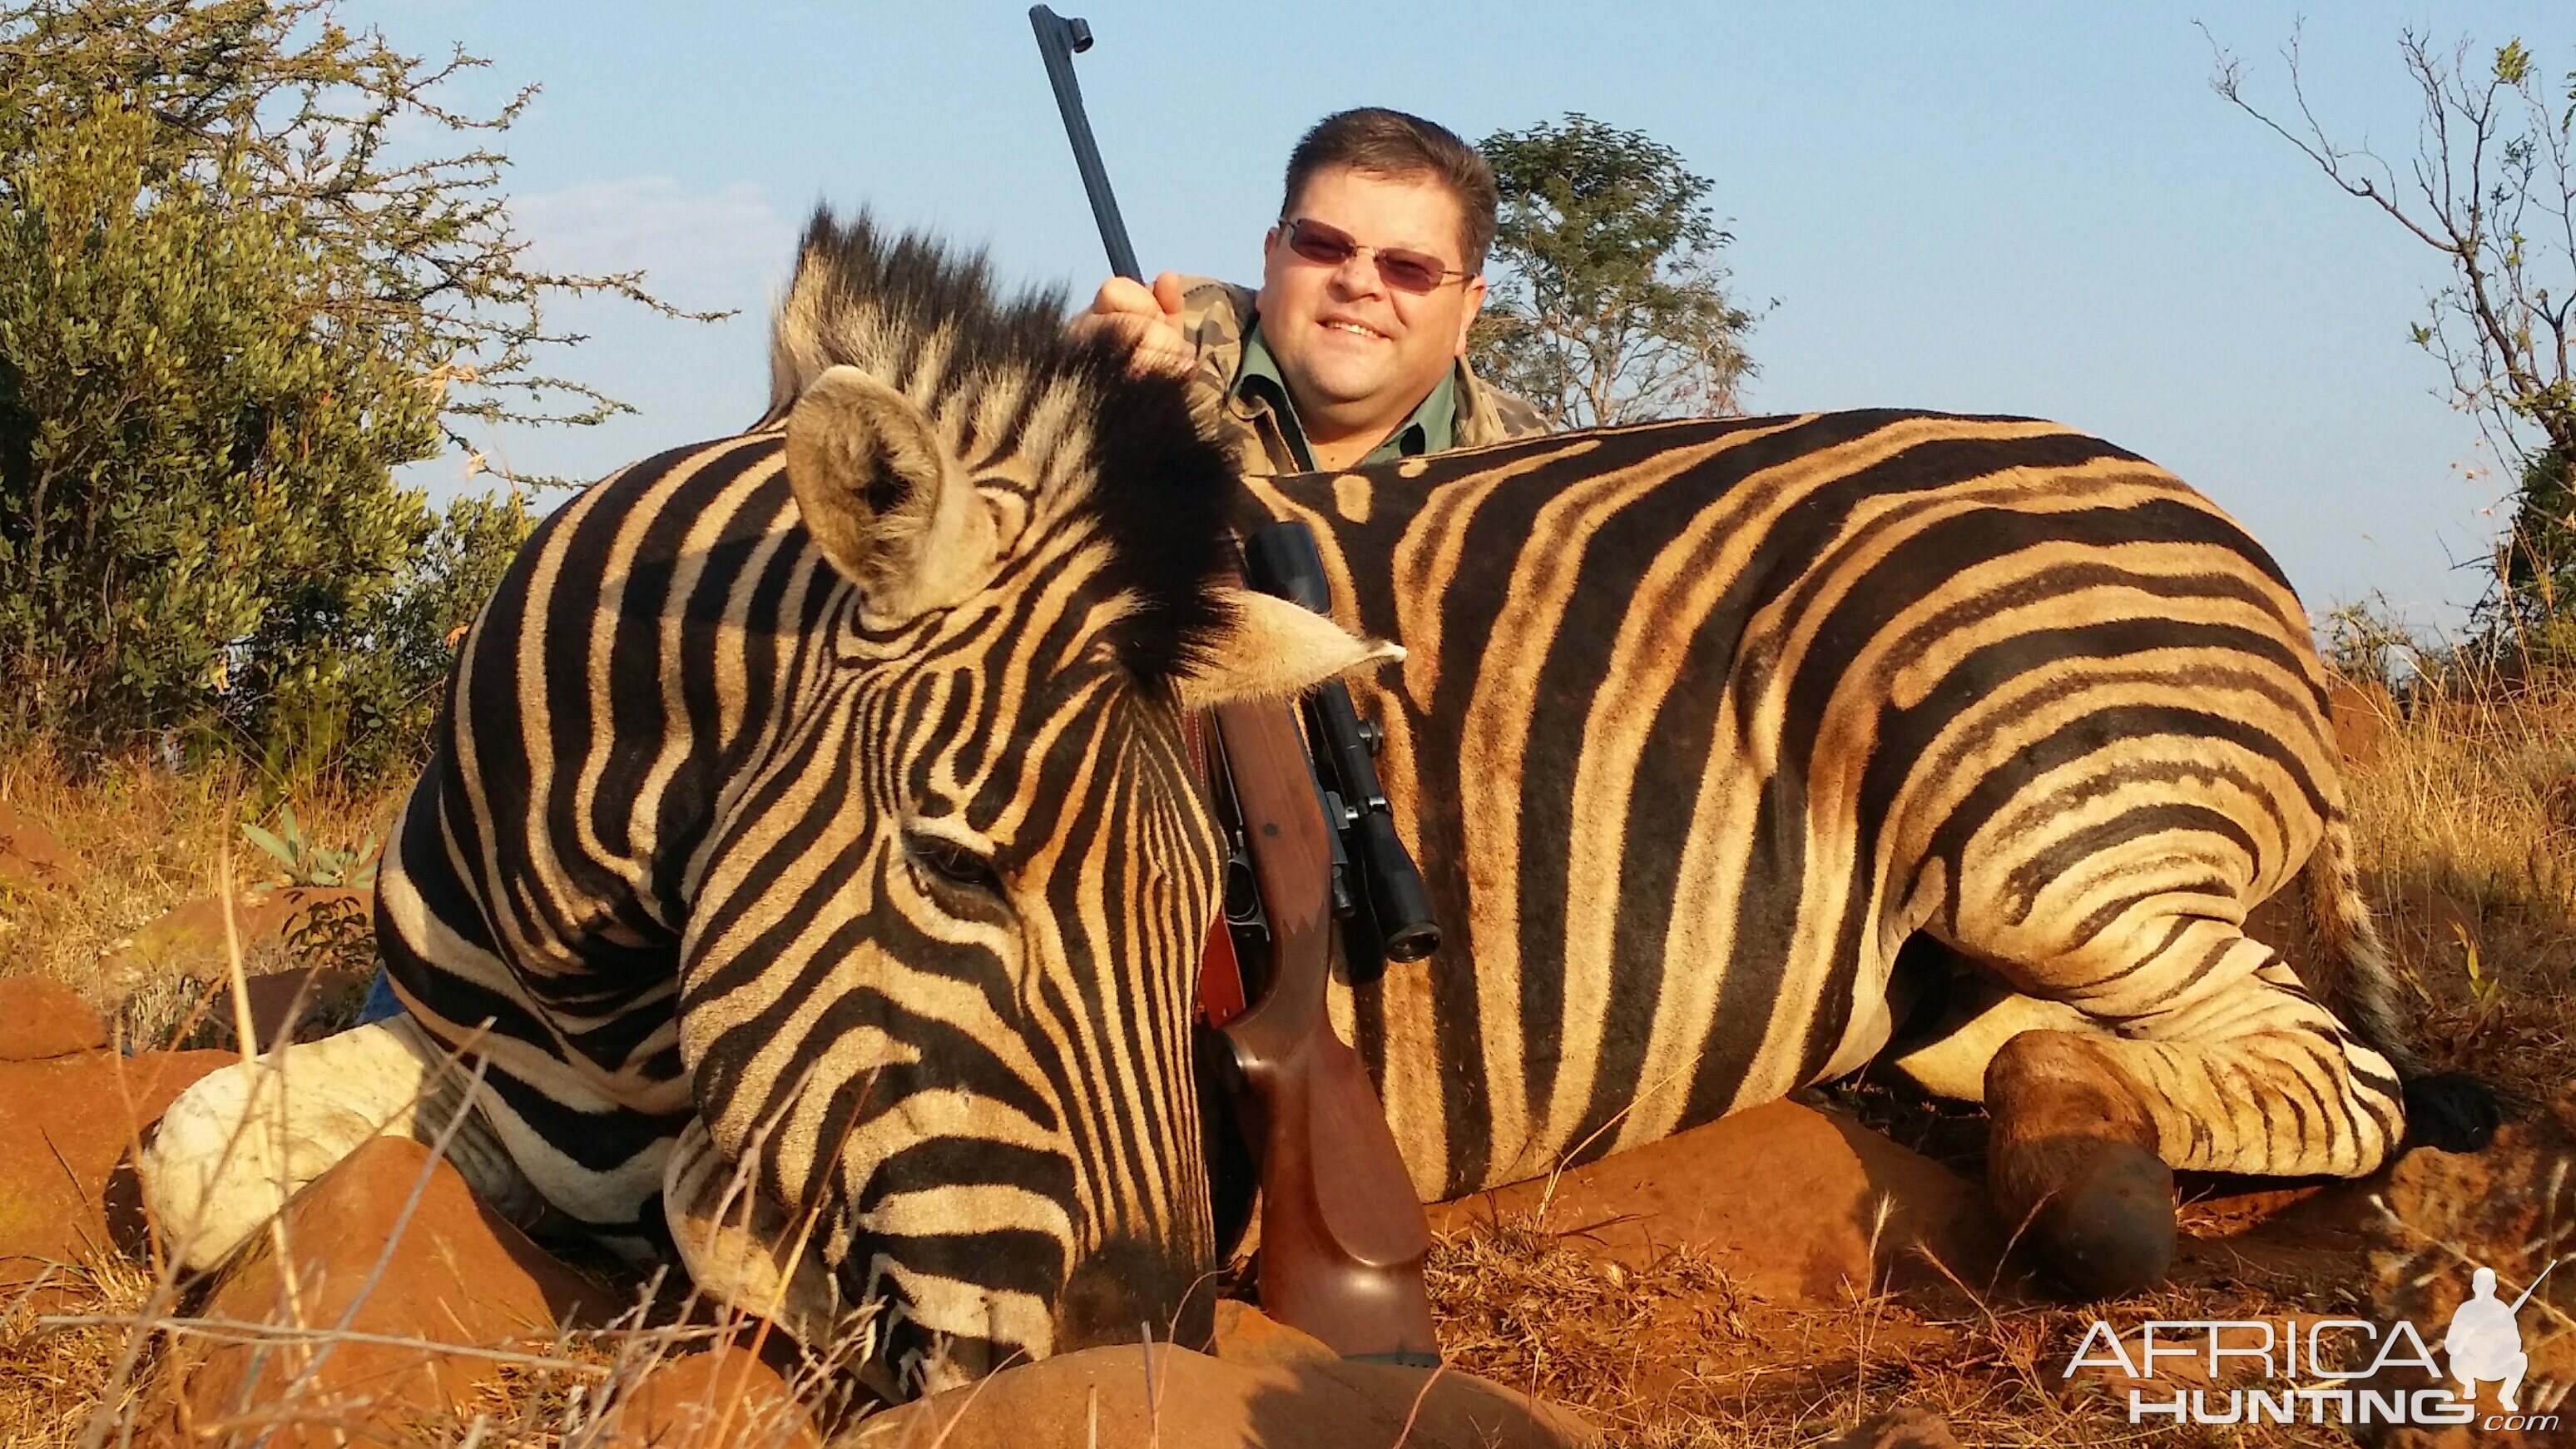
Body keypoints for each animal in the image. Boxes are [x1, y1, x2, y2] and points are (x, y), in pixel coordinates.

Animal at [146, 208, 1390, 1392]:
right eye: (956, 868)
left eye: (1211, 913)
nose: (1148, 1362)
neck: (591, 993)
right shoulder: (469, 1059)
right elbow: (191, 1162)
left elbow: (719, 1218)